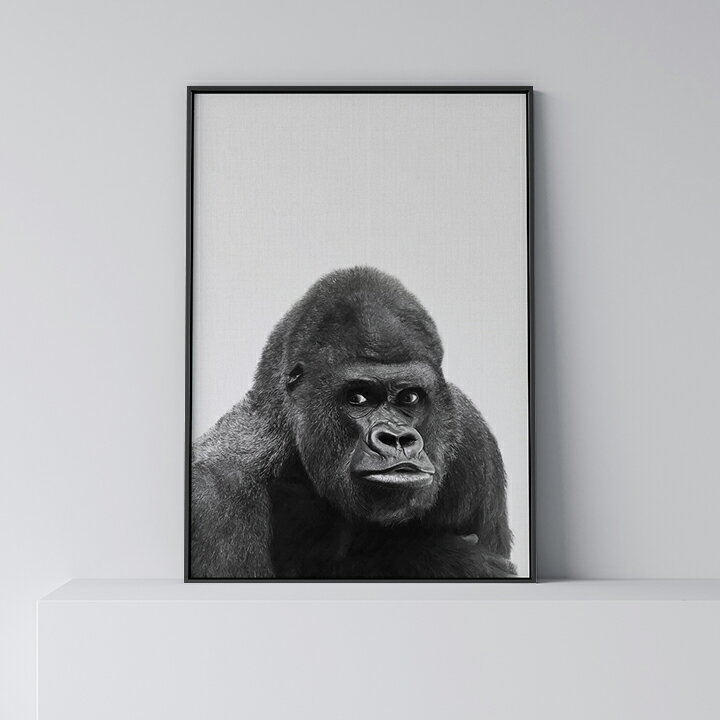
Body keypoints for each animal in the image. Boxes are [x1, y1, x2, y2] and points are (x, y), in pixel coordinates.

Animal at [190, 266, 515, 579]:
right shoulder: (213, 498)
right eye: (358, 398)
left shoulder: (473, 438)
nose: (397, 439)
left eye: (409, 397)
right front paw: (435, 558)